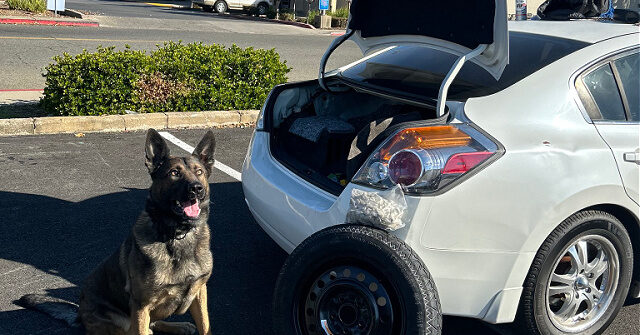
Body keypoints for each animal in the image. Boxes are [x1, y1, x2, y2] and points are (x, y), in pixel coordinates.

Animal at [18, 129, 218, 335]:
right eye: (174, 173)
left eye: (199, 172)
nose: (196, 188)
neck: (177, 235)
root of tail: (79, 314)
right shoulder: (141, 305)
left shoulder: (200, 292)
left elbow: (205, 326)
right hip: (120, 319)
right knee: (143, 330)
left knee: (153, 325)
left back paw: (180, 326)